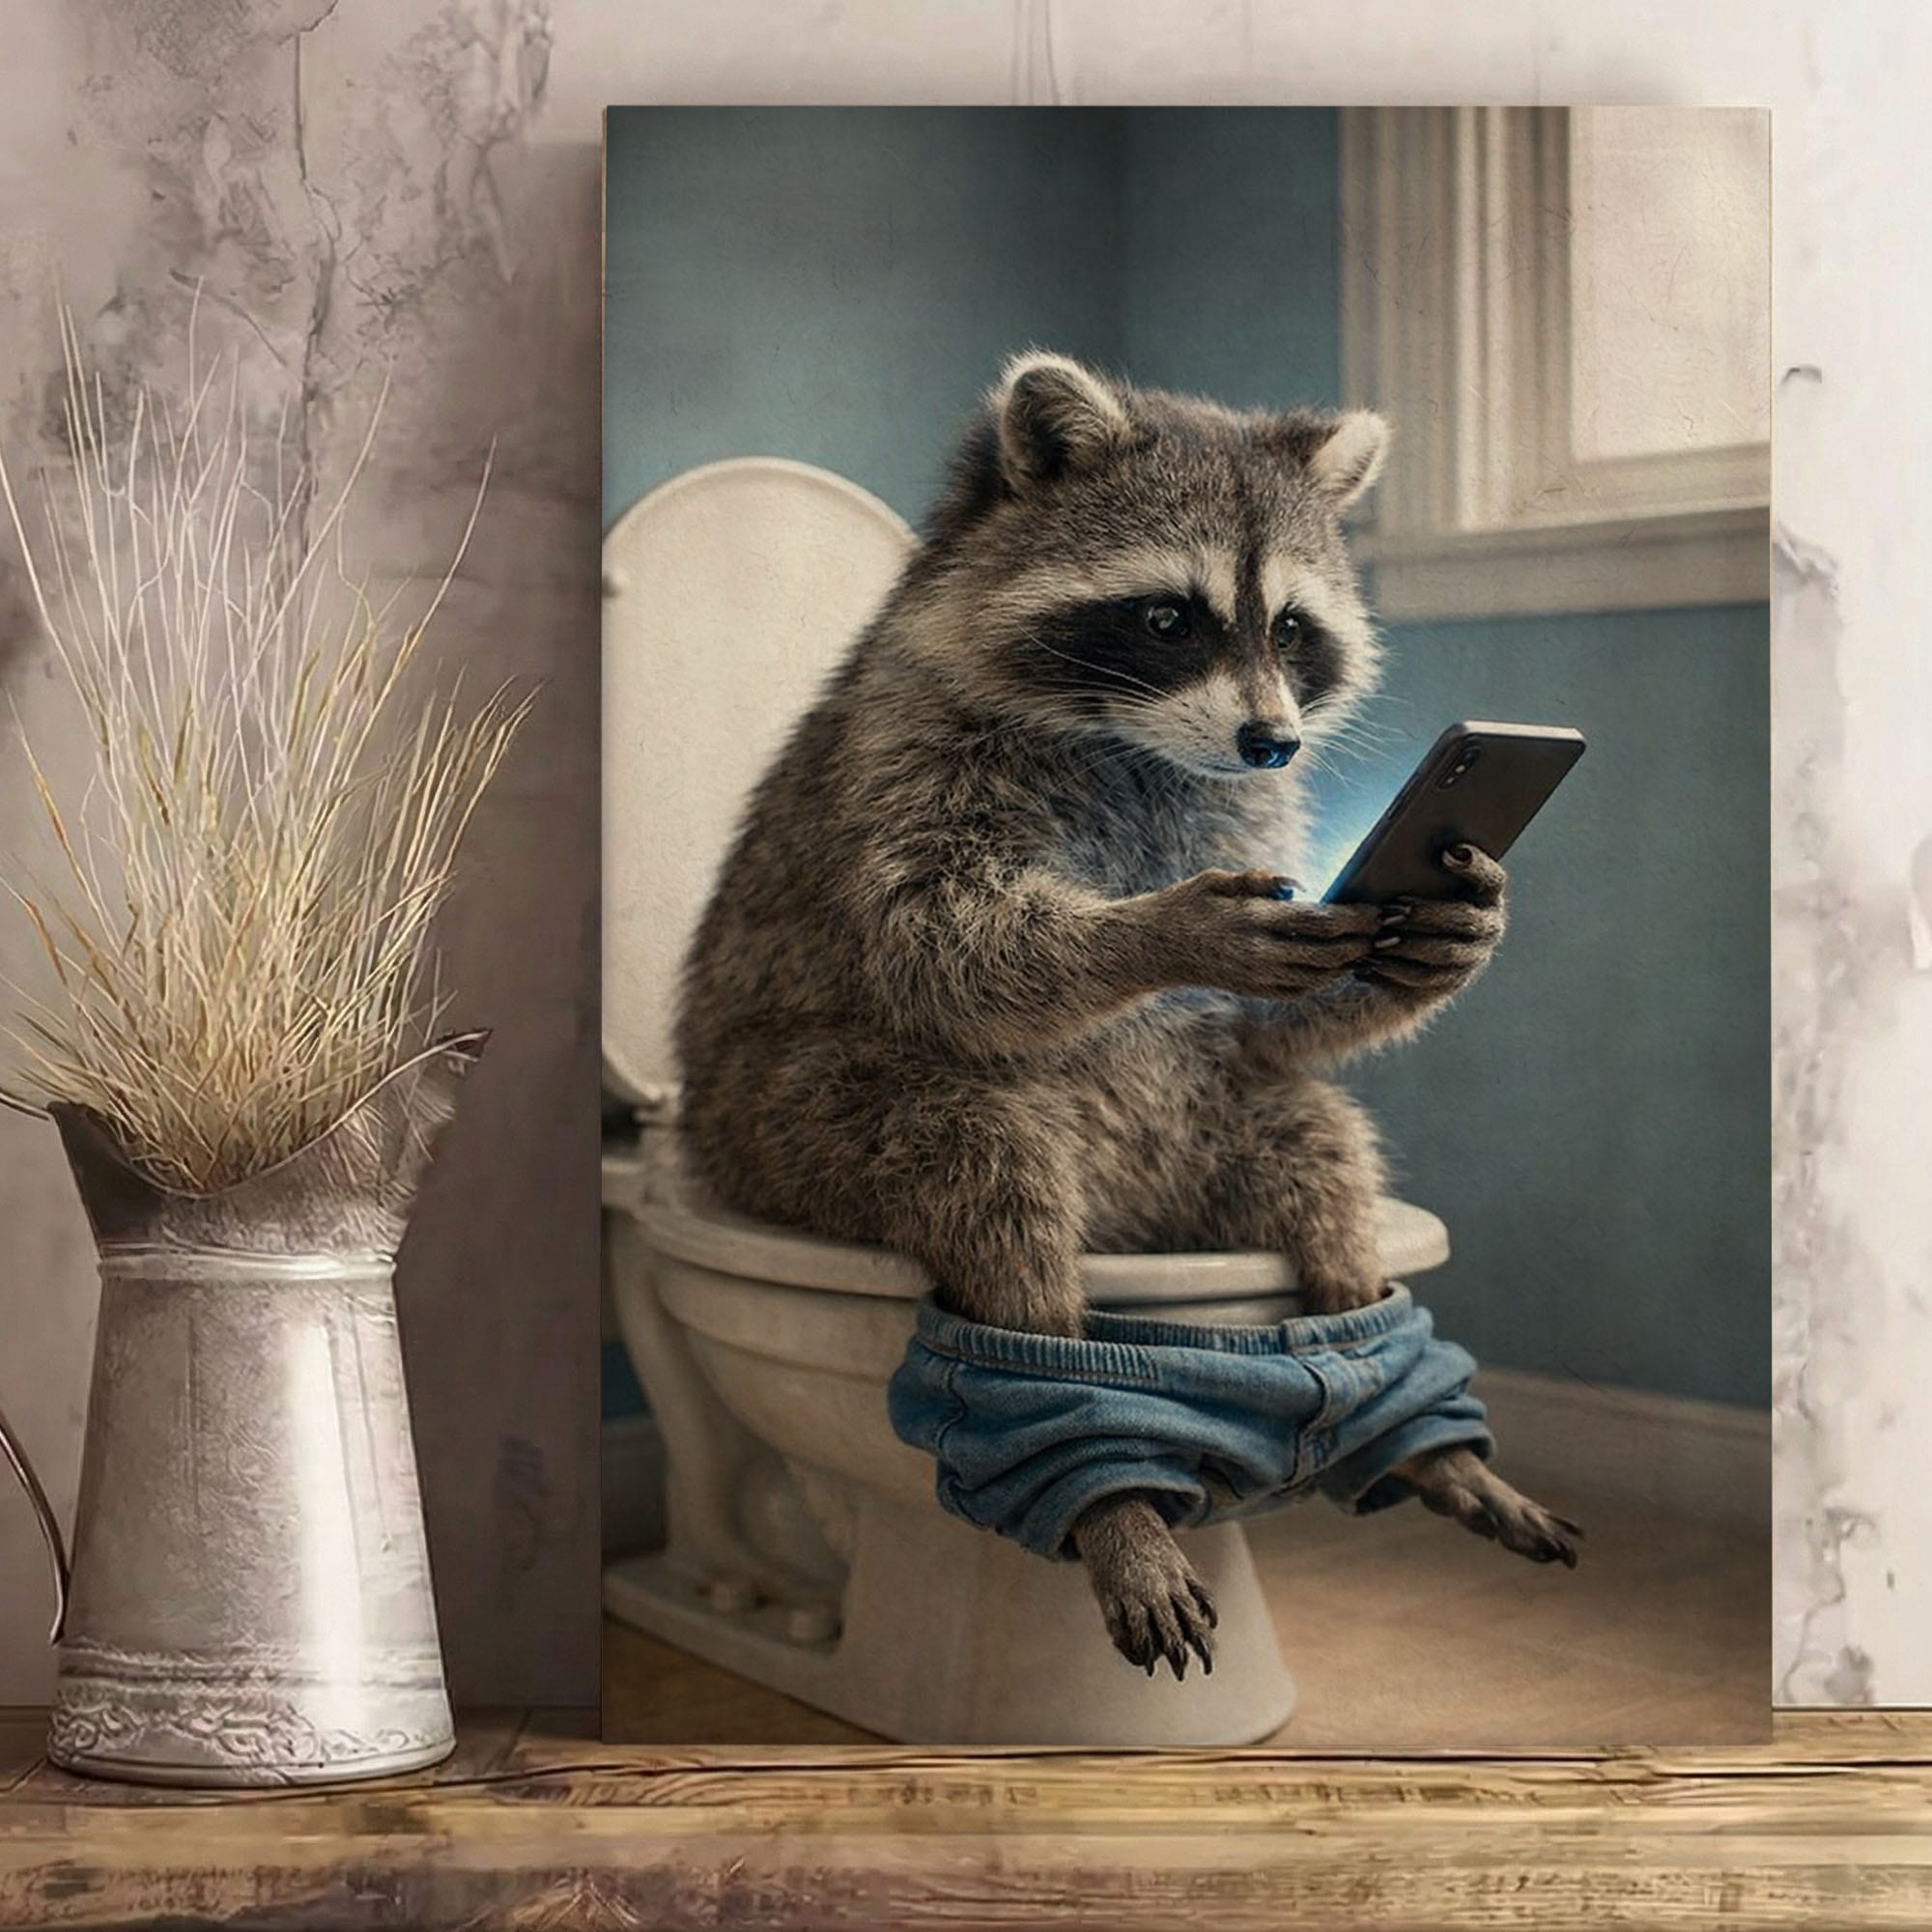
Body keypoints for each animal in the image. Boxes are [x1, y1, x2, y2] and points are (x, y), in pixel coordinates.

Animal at [677, 352, 1580, 1680]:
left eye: (1290, 629)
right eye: (1167, 619)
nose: (1272, 740)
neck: (1135, 741)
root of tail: (1129, 1208)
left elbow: (1265, 1028)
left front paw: (1443, 937)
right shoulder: (905, 754)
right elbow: (934, 945)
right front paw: (1155, 931)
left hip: (1209, 1131)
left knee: (1316, 1141)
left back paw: (1417, 1425)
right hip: (776, 1123)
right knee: (979, 1159)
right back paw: (1110, 1498)